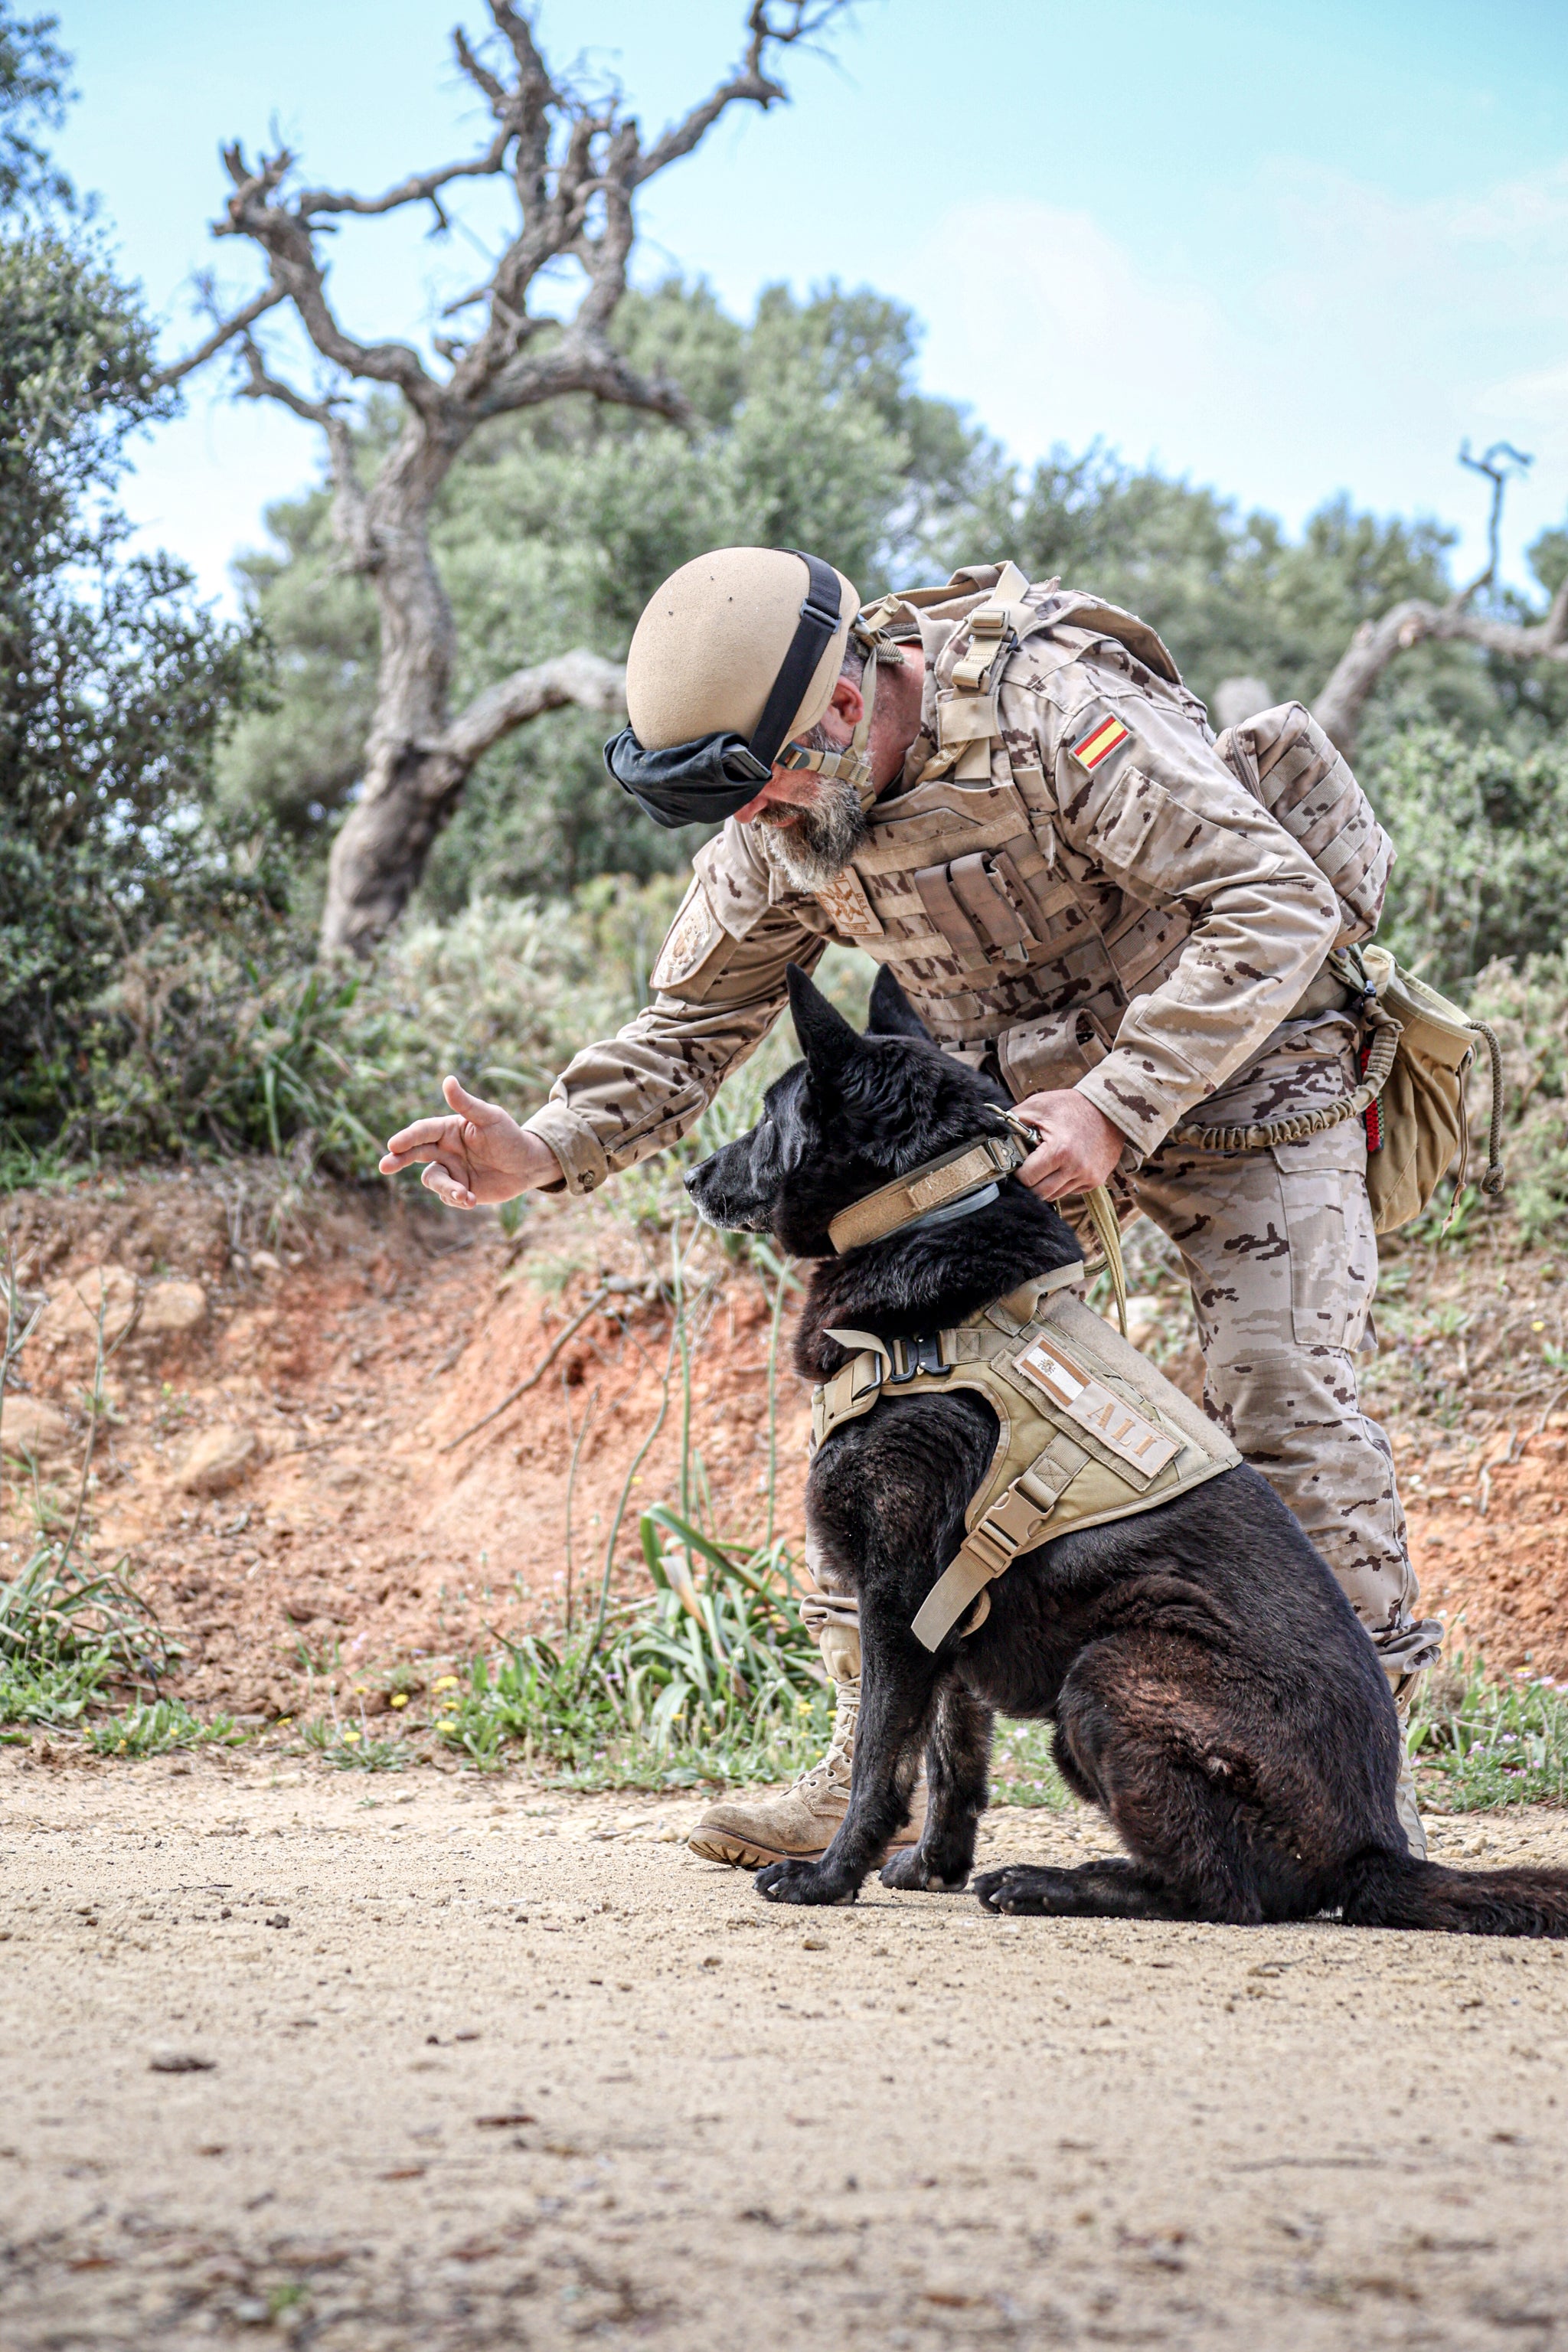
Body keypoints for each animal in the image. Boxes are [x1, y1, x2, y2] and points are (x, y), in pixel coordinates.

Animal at [686, 955, 1568, 1929]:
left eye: (767, 1117)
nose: (689, 1174)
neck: (929, 1217)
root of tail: (1369, 1853)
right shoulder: (941, 1615)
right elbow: (954, 1760)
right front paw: (932, 1866)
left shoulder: (897, 1599)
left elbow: (884, 1759)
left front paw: (827, 1876)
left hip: (1113, 1670)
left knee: (1220, 1891)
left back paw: (1053, 1883)